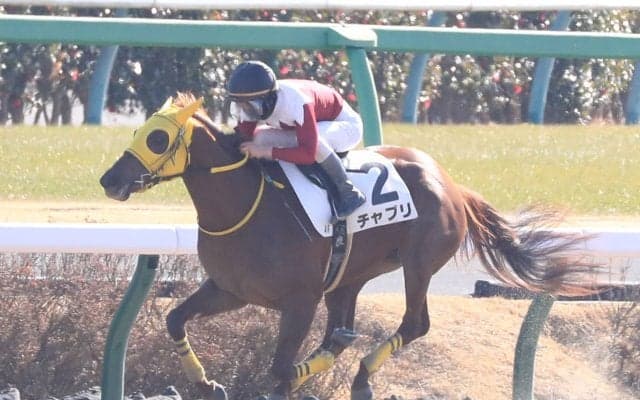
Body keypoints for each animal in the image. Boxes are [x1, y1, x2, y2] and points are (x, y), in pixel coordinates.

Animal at [100, 93, 598, 400]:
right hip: (350, 276)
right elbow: (175, 319)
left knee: (414, 324)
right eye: (137, 134)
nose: (109, 180)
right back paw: (345, 349)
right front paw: (206, 384)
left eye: (157, 138)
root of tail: (452, 184)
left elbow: (281, 368)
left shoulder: (299, 301)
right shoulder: (231, 290)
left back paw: (361, 377)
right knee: (342, 330)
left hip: (419, 263)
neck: (245, 205)